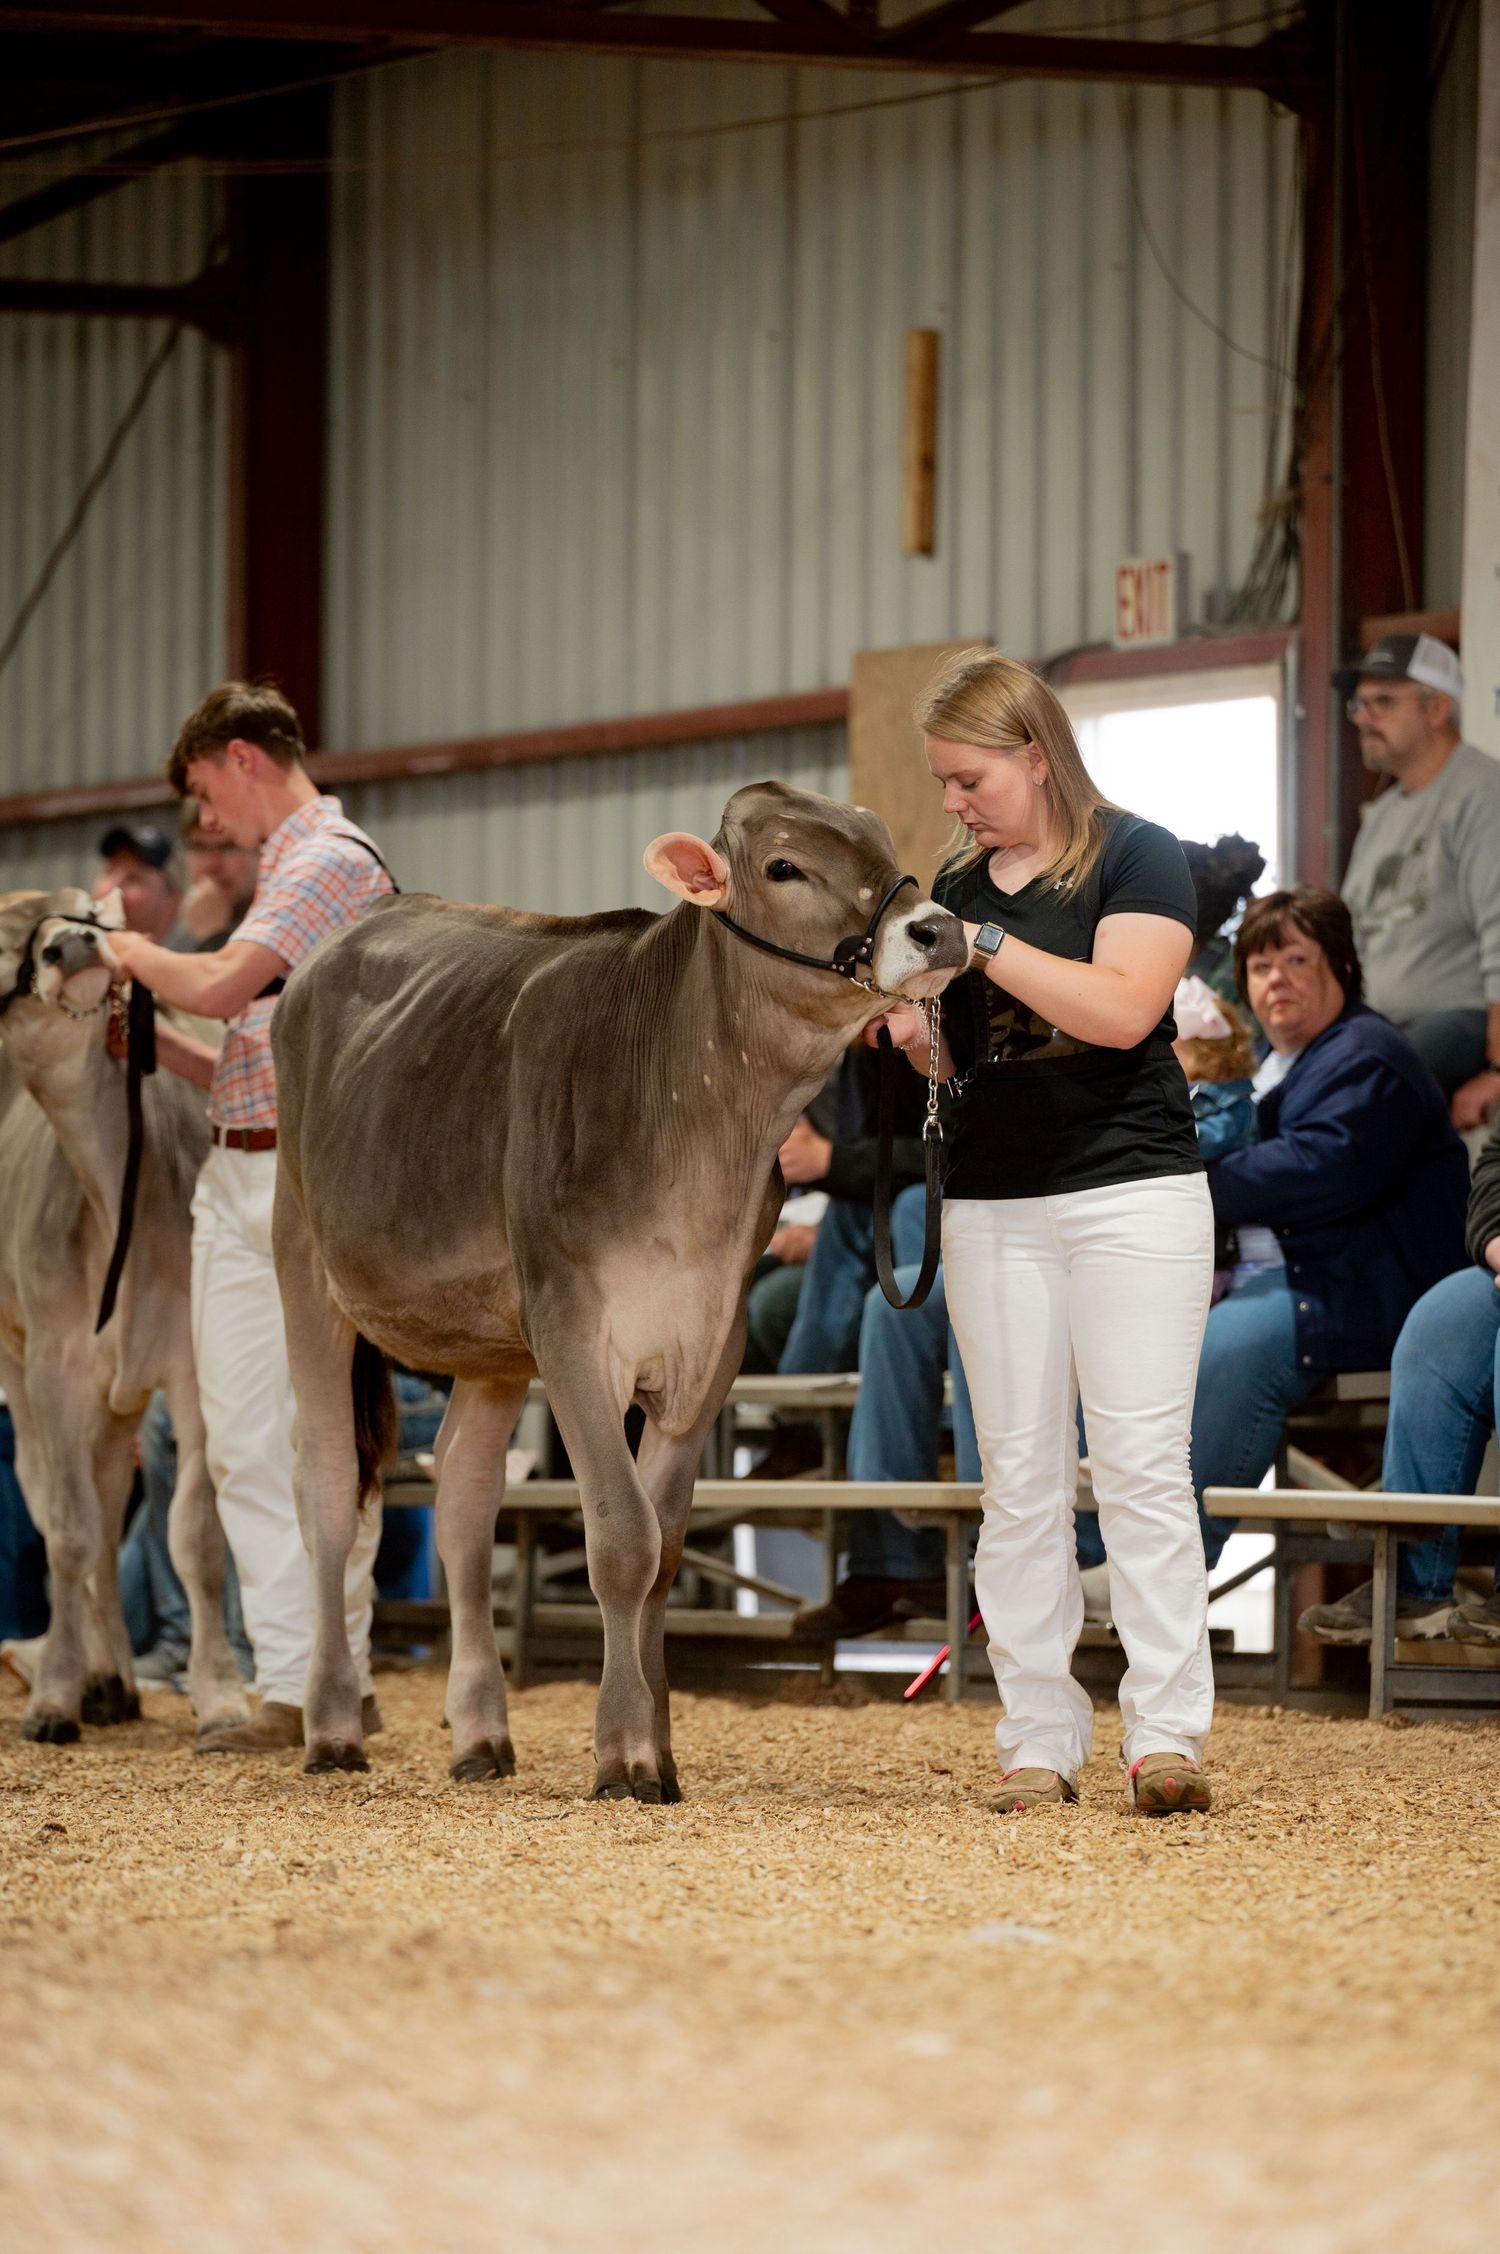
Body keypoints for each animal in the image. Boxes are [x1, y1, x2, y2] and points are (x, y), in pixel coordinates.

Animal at [0, 889, 248, 1743]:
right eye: (8, 936)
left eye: (88, 913)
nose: (70, 946)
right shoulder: (55, 1361)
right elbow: (68, 1531)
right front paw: (52, 1700)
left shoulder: (196, 1364)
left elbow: (196, 1534)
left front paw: (221, 1695)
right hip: (22, 1367)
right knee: (56, 1502)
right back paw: (94, 1676)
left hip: (119, 1400)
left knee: (110, 1505)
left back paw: (114, 1680)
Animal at [273, 782, 969, 1798]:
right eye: (784, 867)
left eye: (878, 839)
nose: (938, 928)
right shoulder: (569, 1324)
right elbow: (623, 1538)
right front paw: (622, 1753)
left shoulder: (710, 1337)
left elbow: (666, 1545)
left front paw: (658, 1747)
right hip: (304, 1264)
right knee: (326, 1489)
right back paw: (329, 1729)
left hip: (491, 1340)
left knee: (464, 1496)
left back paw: (480, 1733)